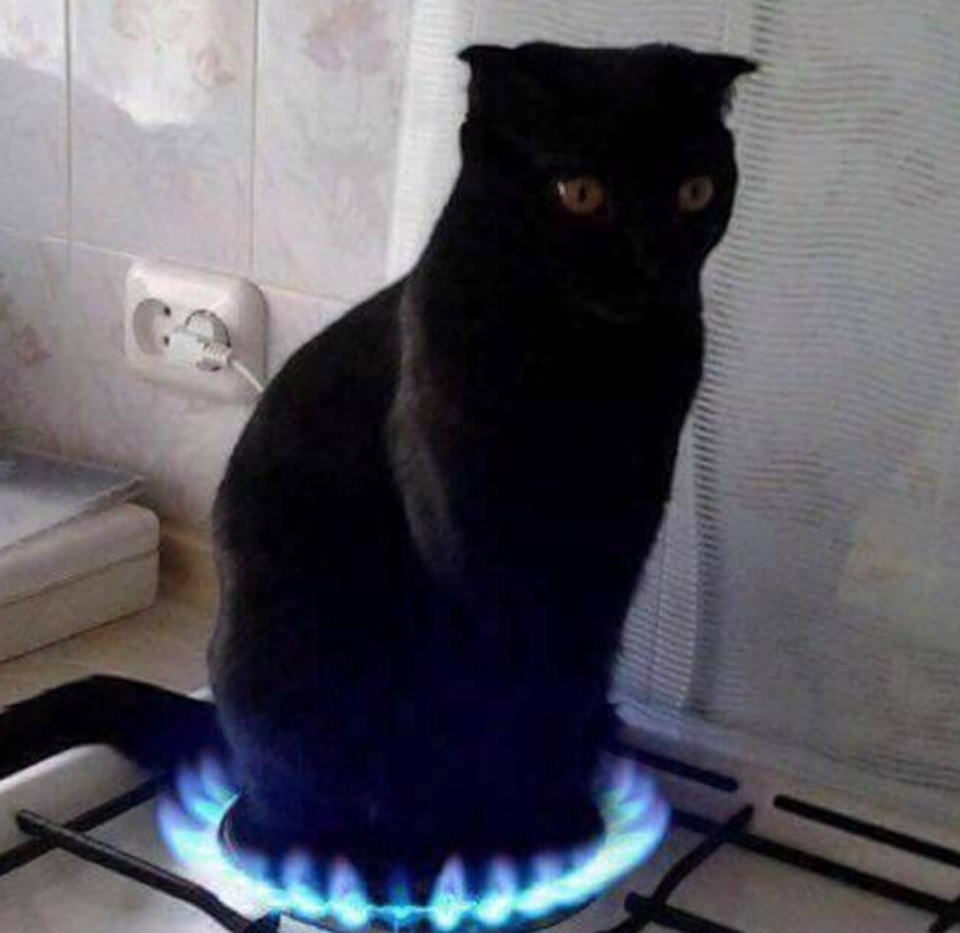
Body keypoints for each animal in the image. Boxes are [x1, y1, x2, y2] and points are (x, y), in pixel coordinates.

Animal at [0, 42, 753, 890]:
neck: (586, 364)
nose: (652, 260)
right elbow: (512, 685)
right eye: (580, 192)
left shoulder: (616, 540)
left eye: (694, 191)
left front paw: (555, 815)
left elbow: (569, 675)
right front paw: (521, 827)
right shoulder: (475, 542)